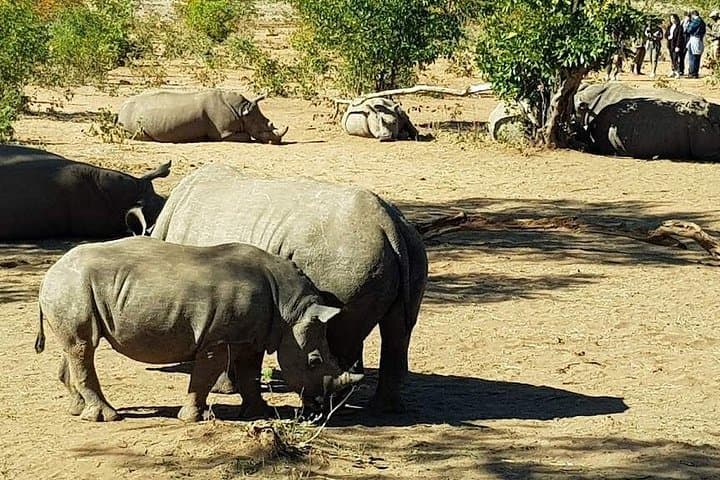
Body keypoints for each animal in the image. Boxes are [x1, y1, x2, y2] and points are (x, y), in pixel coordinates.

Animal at [35, 237, 362, 422]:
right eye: (315, 361)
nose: (322, 409)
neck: (290, 308)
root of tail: (48, 273)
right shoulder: (218, 337)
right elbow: (206, 374)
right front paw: (193, 418)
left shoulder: (251, 336)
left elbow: (249, 373)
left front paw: (261, 413)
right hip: (72, 287)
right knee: (83, 347)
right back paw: (108, 417)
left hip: (72, 289)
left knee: (76, 346)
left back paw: (77, 410)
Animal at [117, 89, 288, 144]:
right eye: (264, 127)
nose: (277, 141)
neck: (242, 110)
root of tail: (120, 111)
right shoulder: (225, 134)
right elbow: (246, 136)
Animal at [151, 164, 428, 412]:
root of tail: (388, 225)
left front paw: (223, 390)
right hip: (411, 248)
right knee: (397, 331)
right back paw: (383, 409)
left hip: (344, 259)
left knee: (339, 332)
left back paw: (329, 410)